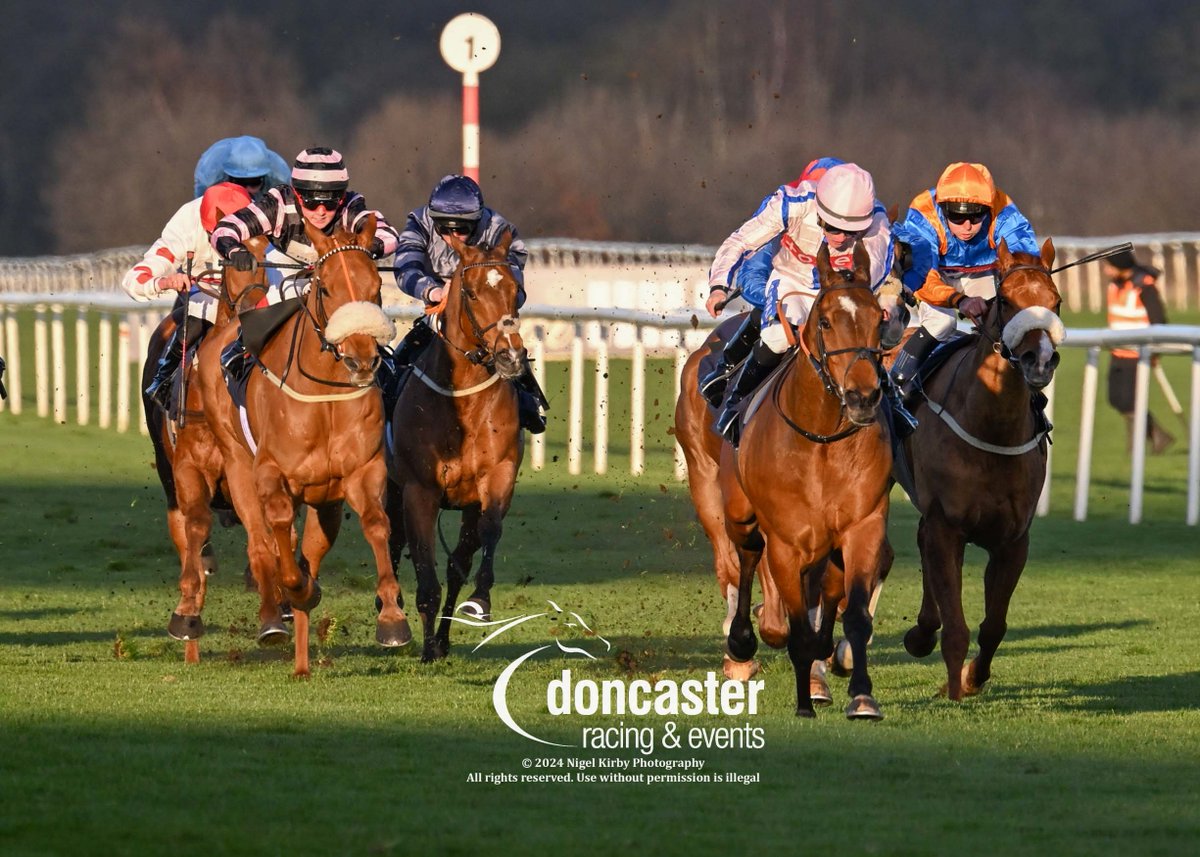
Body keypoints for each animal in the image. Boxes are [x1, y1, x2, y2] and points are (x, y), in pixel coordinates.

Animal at [386, 226, 528, 662]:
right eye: (471, 292)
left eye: (514, 288)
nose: (511, 356)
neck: (460, 402)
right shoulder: (419, 490)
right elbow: (424, 571)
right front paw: (425, 647)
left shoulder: (496, 478)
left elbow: (488, 533)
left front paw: (479, 601)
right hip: (391, 490)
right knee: (394, 544)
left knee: (456, 563)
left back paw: (445, 636)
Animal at [897, 236, 1065, 696]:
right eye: (1005, 300)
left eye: (1056, 302)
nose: (1040, 360)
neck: (991, 428)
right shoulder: (947, 526)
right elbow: (956, 626)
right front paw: (953, 692)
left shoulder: (1013, 540)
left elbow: (994, 626)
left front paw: (971, 678)